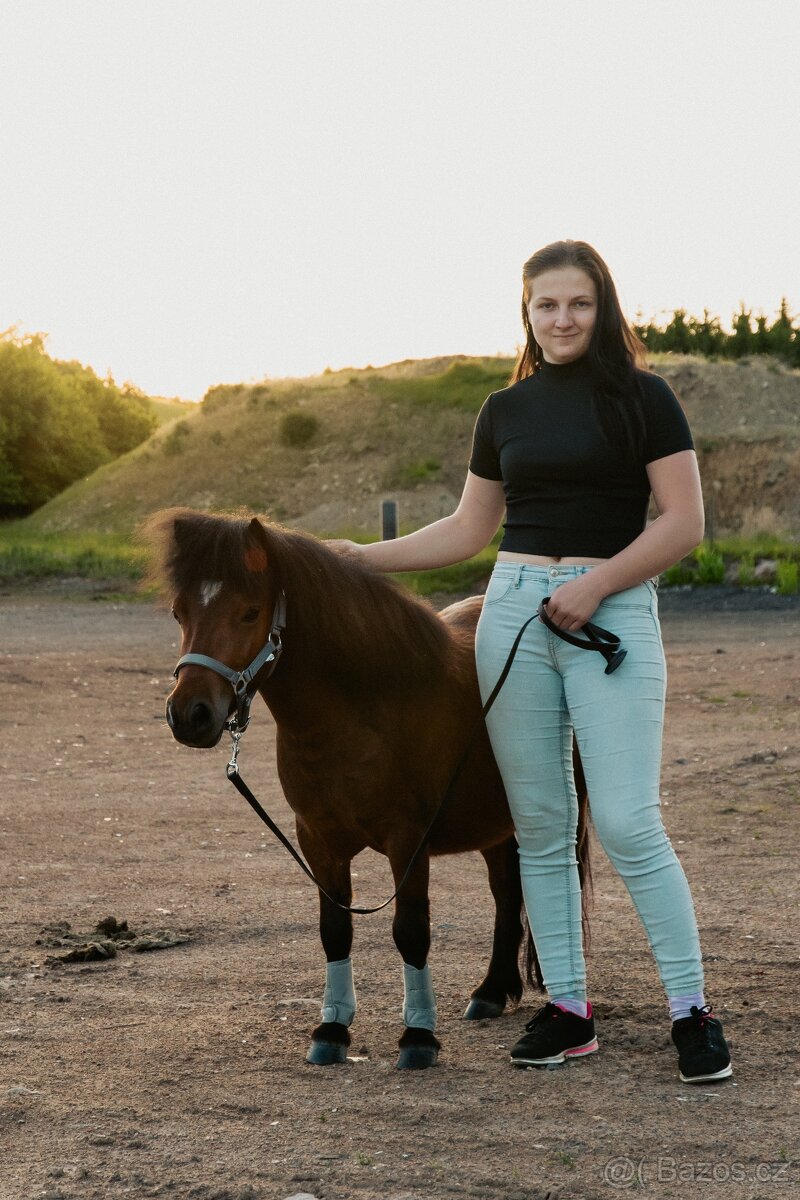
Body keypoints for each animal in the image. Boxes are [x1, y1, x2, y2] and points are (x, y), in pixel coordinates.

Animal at [144, 508, 591, 1069]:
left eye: (249, 613)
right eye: (179, 612)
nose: (189, 715)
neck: (359, 711)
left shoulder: (408, 841)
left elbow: (411, 931)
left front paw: (418, 1037)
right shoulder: (318, 840)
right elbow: (334, 931)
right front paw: (332, 1029)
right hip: (495, 822)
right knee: (506, 889)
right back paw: (491, 991)